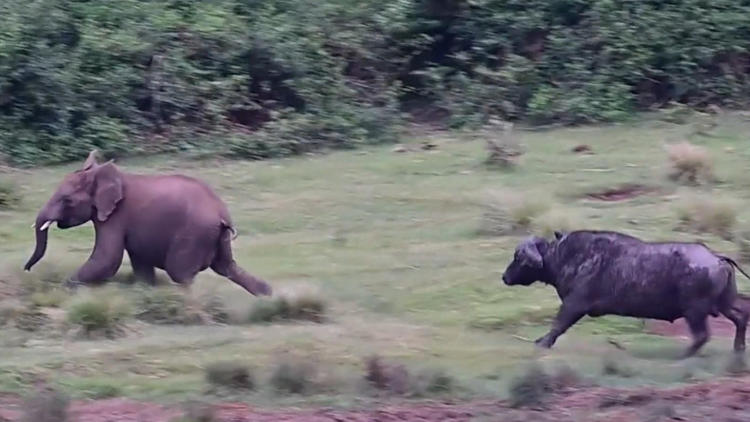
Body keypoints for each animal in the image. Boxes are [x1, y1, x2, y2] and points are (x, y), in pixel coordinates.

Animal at [23, 150, 272, 296]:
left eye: (67, 200)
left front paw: (62, 290)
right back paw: (268, 296)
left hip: (194, 233)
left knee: (180, 273)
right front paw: (145, 292)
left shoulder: (115, 216)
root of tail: (222, 215)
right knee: (227, 267)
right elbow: (139, 264)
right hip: (216, 236)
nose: (26, 270)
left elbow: (106, 260)